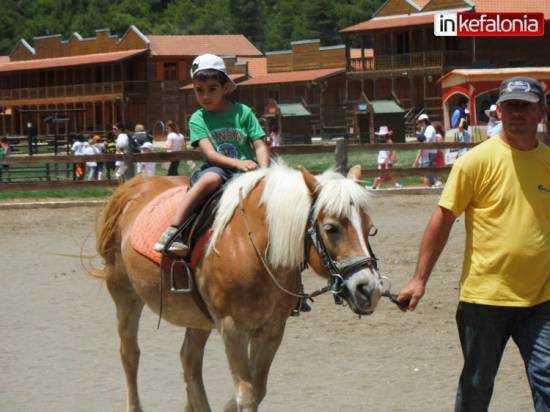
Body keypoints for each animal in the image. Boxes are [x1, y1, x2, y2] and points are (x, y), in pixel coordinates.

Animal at [95, 164, 386, 412]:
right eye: (331, 228)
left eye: (370, 228)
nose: (368, 289)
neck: (253, 247)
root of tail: (136, 184)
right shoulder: (232, 328)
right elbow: (246, 395)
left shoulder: (271, 331)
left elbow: (258, 389)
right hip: (125, 295)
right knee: (130, 354)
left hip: (198, 318)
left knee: (189, 362)